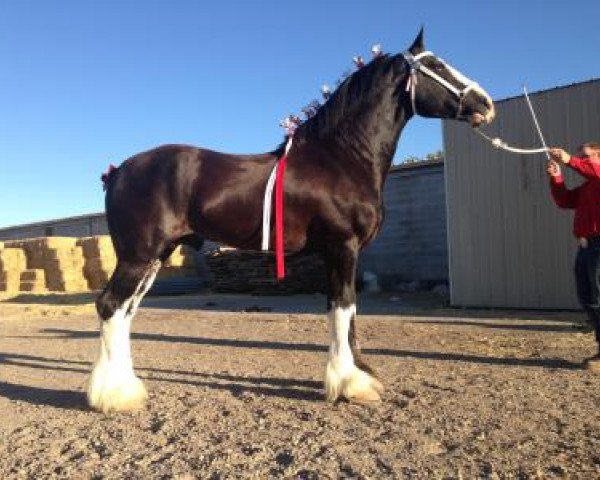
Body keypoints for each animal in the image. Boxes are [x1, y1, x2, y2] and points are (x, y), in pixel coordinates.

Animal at [88, 29, 492, 412]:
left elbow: (345, 311)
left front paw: (357, 376)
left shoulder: (338, 254)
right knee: (110, 306)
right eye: (436, 66)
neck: (340, 158)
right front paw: (350, 385)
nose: (486, 104)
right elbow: (343, 308)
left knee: (125, 312)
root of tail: (118, 171)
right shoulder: (342, 247)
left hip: (156, 257)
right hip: (138, 257)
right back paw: (114, 396)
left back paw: (126, 387)